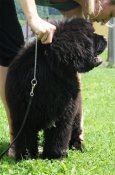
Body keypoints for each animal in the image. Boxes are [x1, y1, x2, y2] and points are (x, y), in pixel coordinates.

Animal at [5, 17, 106, 160]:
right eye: (91, 35)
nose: (104, 38)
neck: (52, 72)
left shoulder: (64, 115)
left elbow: (58, 136)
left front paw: (54, 156)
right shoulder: (21, 114)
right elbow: (25, 137)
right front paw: (26, 155)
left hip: (76, 115)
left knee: (76, 132)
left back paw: (79, 146)